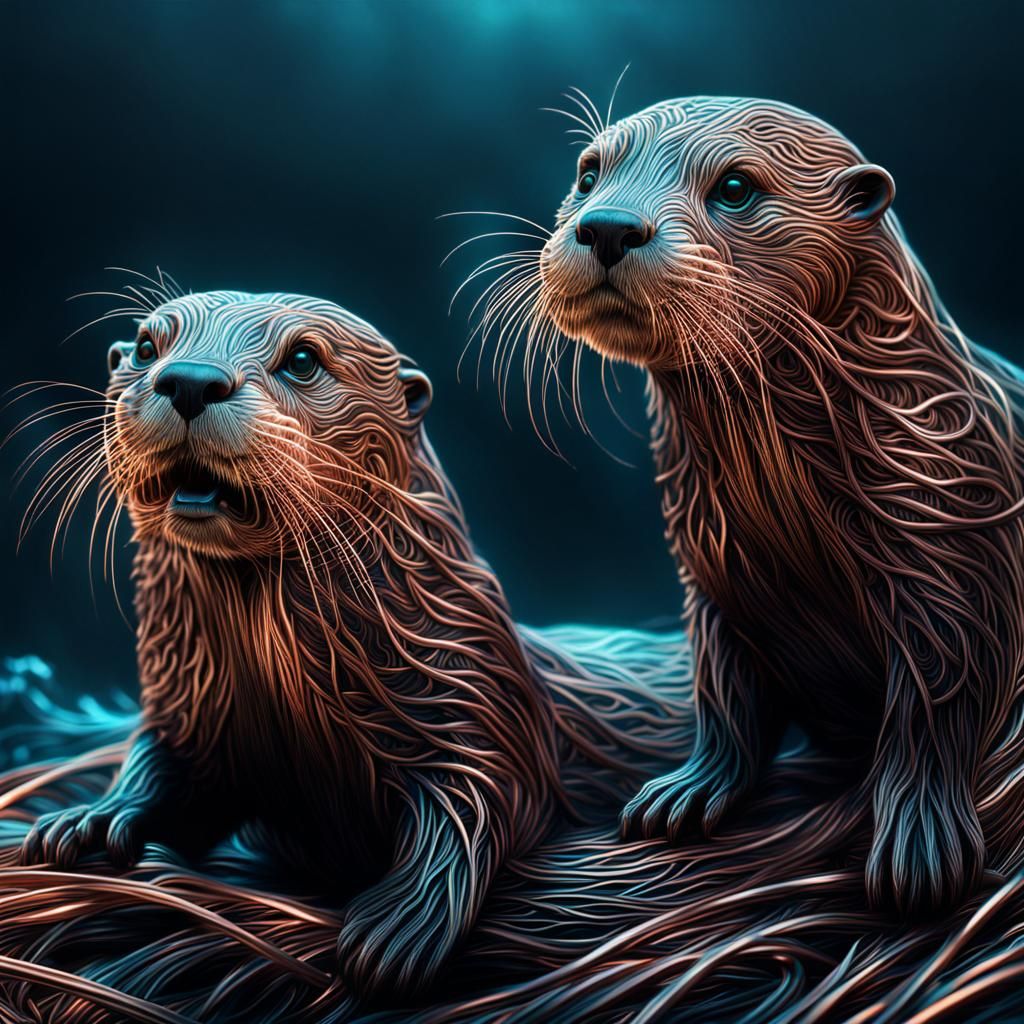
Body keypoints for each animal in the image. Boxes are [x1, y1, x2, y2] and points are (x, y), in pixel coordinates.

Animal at [17, 290, 690, 999]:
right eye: (147, 347)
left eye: (303, 358)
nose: (191, 381)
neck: (297, 709)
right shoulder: (191, 705)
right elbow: (160, 761)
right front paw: (89, 823)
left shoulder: (477, 695)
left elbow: (482, 796)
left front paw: (398, 927)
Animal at [498, 96, 1024, 917]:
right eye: (588, 173)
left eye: (737, 187)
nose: (608, 226)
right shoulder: (715, 570)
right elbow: (726, 695)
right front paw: (685, 792)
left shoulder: (950, 555)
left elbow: (938, 702)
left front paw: (921, 842)